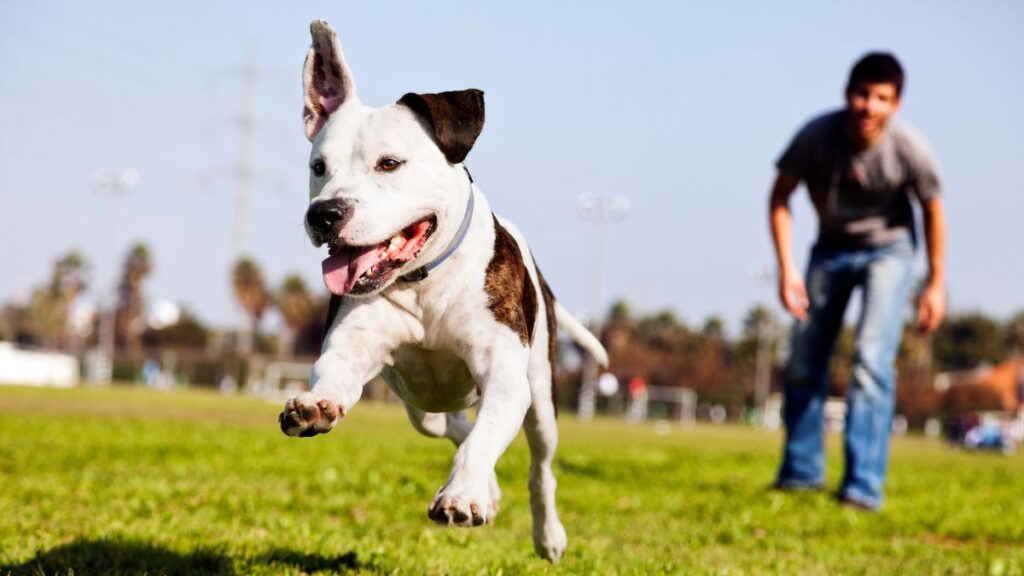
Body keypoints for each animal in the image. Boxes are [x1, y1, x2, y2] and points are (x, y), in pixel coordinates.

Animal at [280, 19, 606, 561]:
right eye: (318, 167)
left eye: (390, 163)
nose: (324, 214)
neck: (424, 282)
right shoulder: (352, 345)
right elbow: (334, 374)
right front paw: (315, 406)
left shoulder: (504, 376)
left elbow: (486, 437)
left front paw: (462, 495)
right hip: (419, 404)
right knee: (450, 425)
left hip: (541, 397)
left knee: (539, 466)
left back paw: (546, 533)